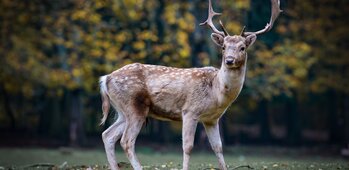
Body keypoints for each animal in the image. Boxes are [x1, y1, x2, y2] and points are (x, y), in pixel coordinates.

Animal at [98, 0, 280, 169]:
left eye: (242, 48)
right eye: (223, 47)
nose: (229, 60)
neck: (217, 93)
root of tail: (106, 78)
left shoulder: (212, 119)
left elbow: (218, 147)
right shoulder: (189, 111)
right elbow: (188, 147)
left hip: (123, 111)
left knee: (107, 135)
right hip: (134, 106)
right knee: (126, 141)